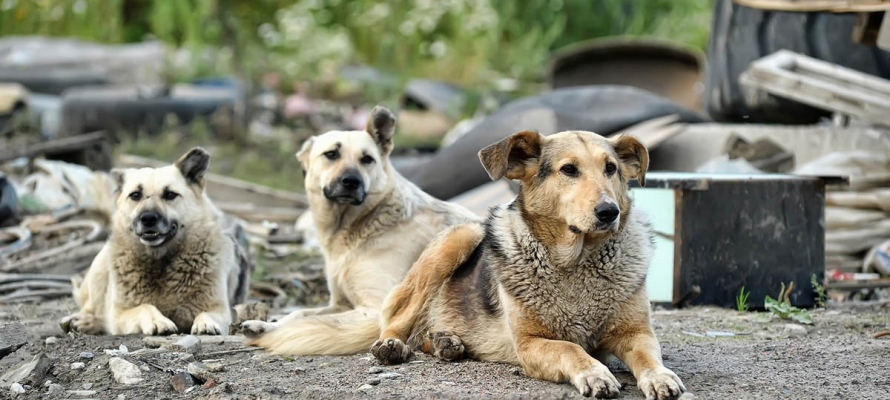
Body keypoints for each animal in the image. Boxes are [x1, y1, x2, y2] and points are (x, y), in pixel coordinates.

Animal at [61, 147, 250, 334]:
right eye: (135, 195)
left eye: (170, 194)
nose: (148, 218)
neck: (160, 260)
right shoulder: (120, 314)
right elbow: (145, 306)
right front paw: (159, 321)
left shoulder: (220, 309)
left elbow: (207, 313)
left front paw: (206, 323)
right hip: (100, 266)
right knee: (92, 308)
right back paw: (83, 321)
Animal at [241, 105, 478, 354]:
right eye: (331, 154)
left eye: (367, 159)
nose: (351, 181)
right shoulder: (339, 303)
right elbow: (300, 313)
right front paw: (265, 325)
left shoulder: (373, 308)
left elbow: (314, 322)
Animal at [372, 130, 684, 398]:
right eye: (569, 169)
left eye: (611, 168)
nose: (609, 211)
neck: (577, 262)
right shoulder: (529, 342)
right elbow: (570, 349)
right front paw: (595, 373)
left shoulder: (636, 333)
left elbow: (648, 357)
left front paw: (660, 376)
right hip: (461, 236)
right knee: (398, 319)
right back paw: (393, 345)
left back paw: (445, 341)